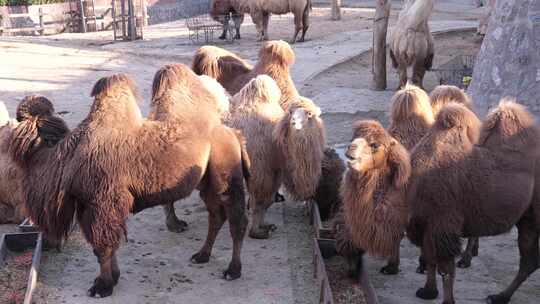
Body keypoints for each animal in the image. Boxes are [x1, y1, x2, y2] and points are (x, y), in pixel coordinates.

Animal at [8, 64, 249, 296]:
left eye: (34, 131)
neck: (67, 156)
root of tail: (235, 134)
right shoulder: (90, 205)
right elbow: (105, 244)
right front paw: (112, 277)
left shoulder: (103, 202)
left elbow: (103, 246)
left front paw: (102, 286)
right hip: (206, 181)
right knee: (216, 215)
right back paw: (201, 255)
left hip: (226, 176)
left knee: (236, 219)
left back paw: (233, 270)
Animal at [408, 100, 536, 304]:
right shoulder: (426, 225)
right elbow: (431, 259)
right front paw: (428, 291)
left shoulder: (443, 224)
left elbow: (445, 268)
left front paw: (447, 300)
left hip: (531, 218)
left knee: (528, 260)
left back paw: (498, 296)